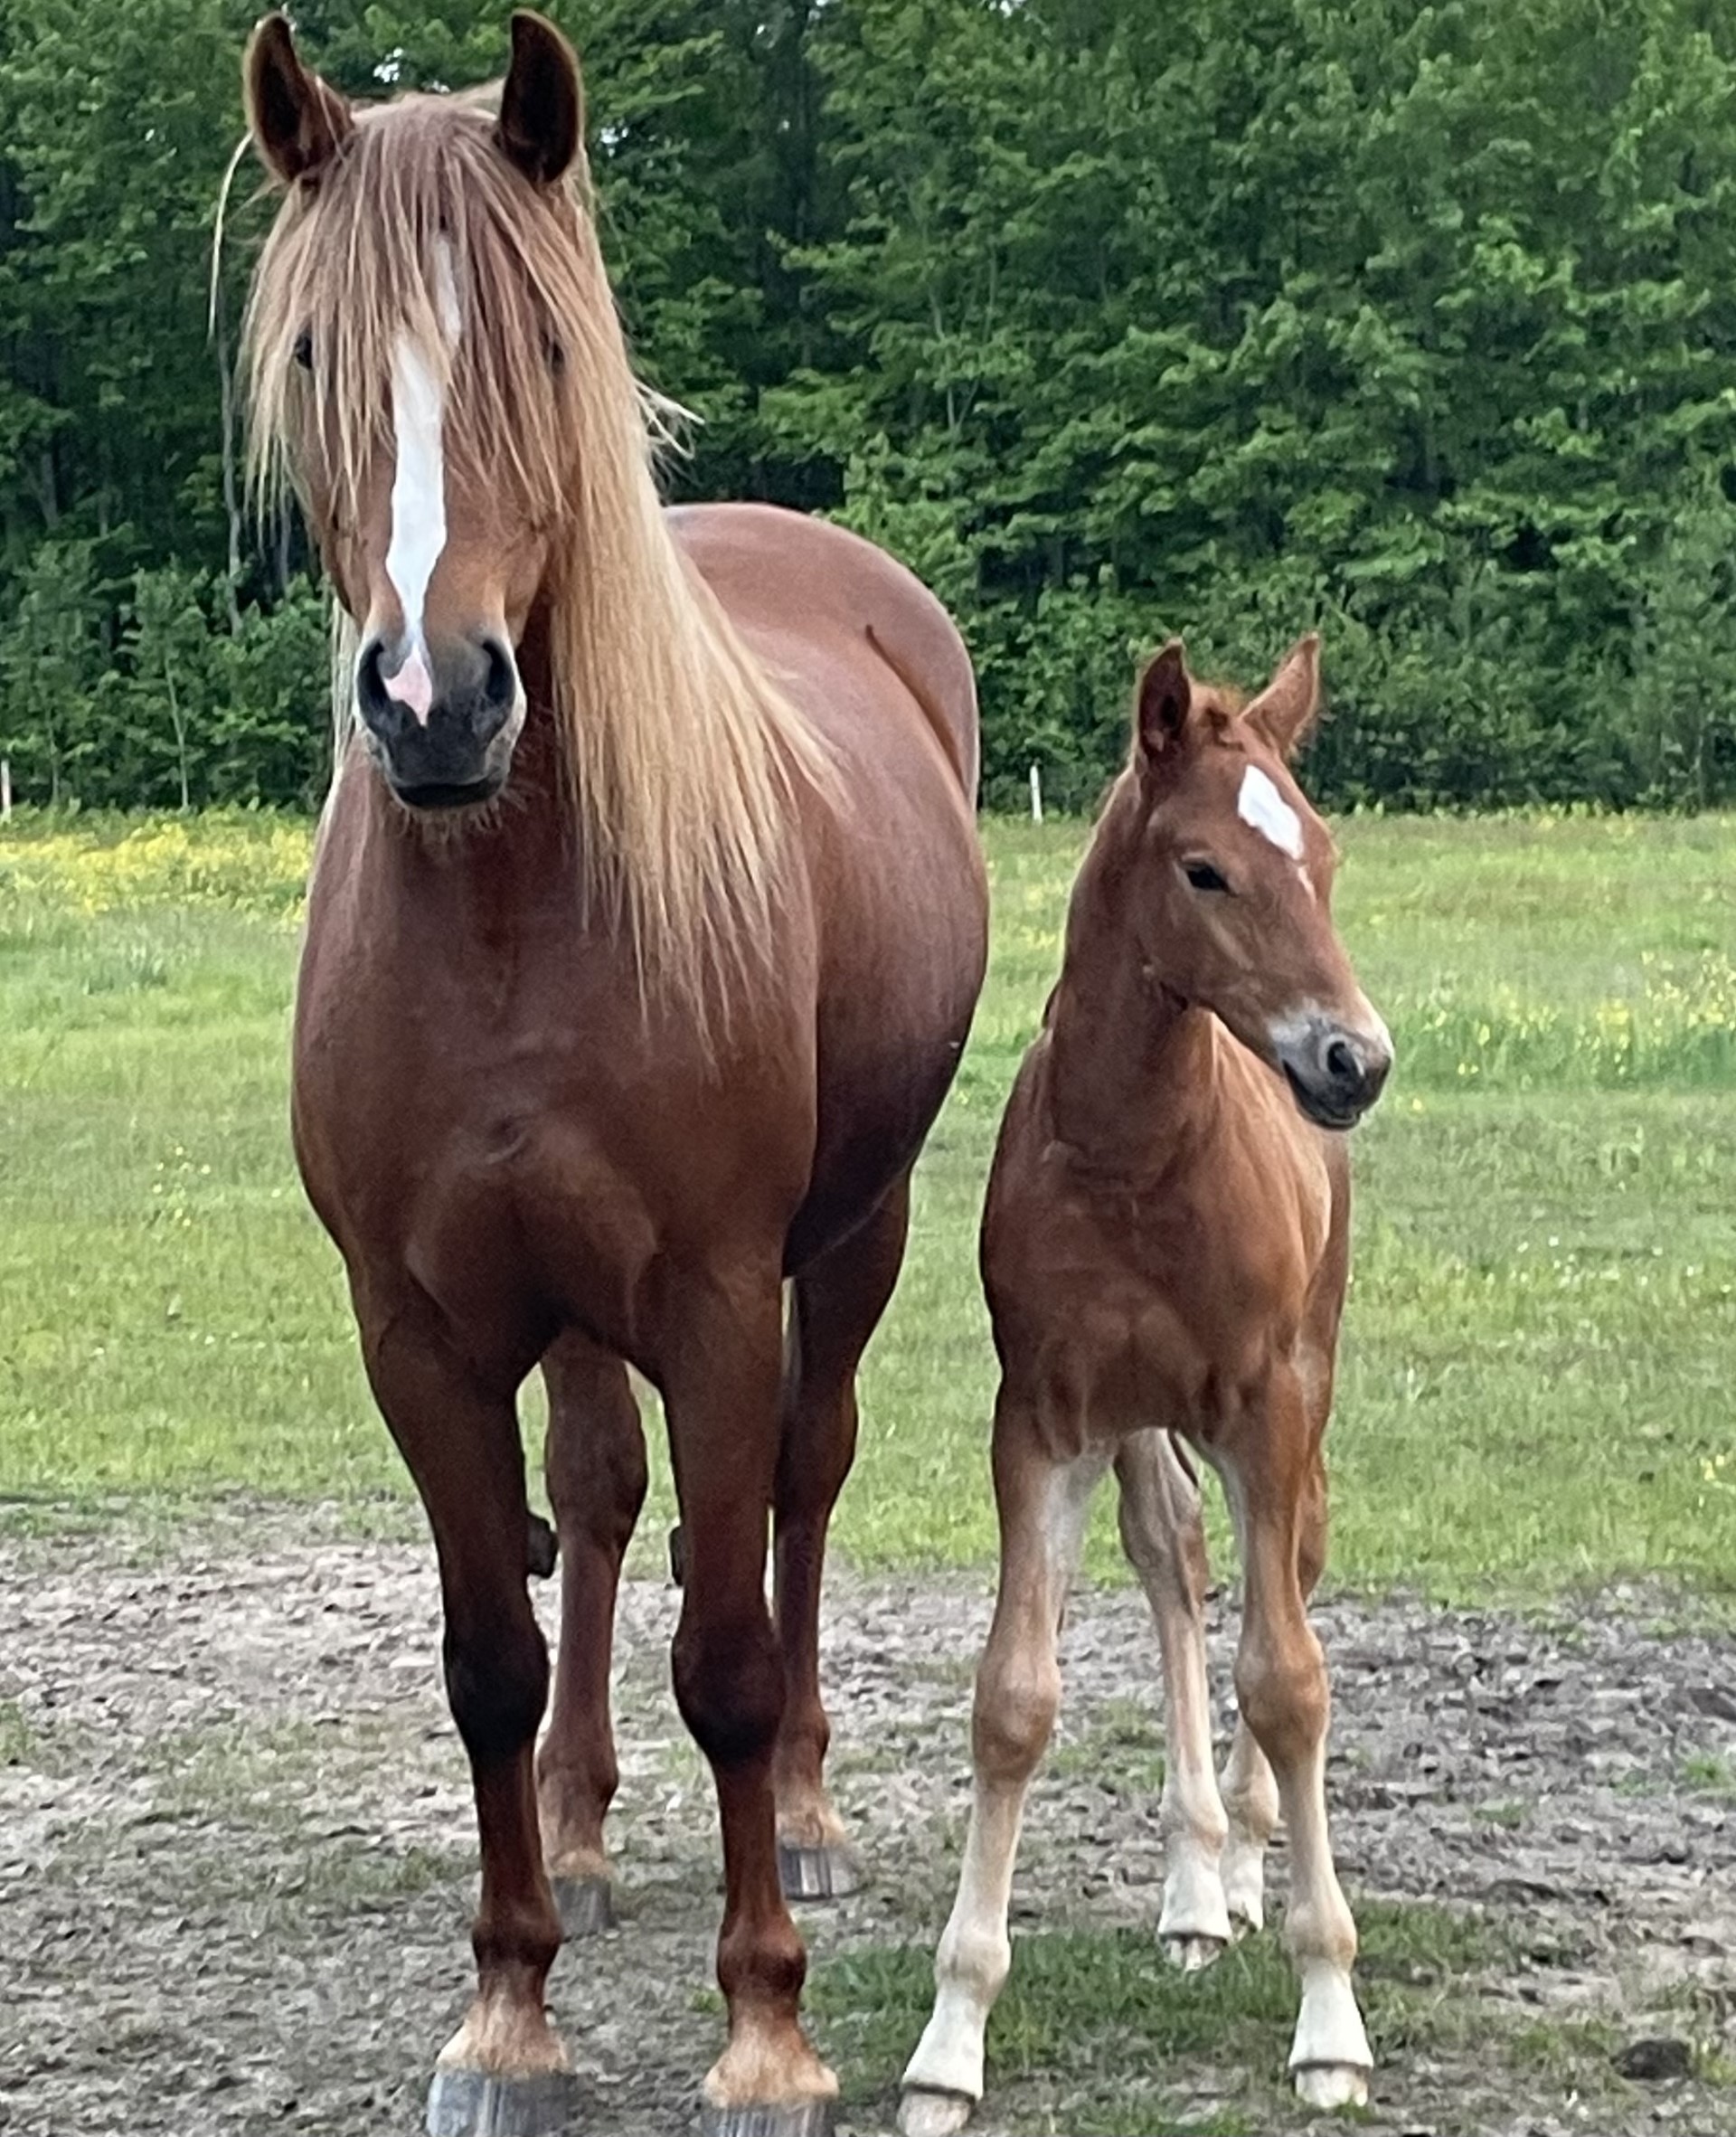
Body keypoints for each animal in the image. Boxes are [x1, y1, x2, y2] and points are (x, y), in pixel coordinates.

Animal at [239, 14, 987, 2134]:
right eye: (315, 353)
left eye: (550, 353)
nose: (436, 702)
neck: (503, 910)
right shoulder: (418, 1326)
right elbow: (489, 1648)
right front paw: (506, 2005)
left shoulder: (722, 1300)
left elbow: (725, 1649)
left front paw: (766, 2026)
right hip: (565, 1301)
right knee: (591, 1495)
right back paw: (573, 1822)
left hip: (857, 1234)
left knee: (804, 1487)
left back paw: (804, 1805)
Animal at [898, 636, 1393, 2135]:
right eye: (1206, 869)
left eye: (1325, 855)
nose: (1354, 1058)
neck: (1133, 1158)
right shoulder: (1045, 1422)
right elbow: (1013, 1699)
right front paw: (950, 2038)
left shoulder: (1268, 1407)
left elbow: (1288, 1677)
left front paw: (1330, 2021)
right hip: (1141, 1423)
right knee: (1175, 1555)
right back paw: (1192, 1884)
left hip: (1304, 1380)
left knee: (1285, 1568)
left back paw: (1240, 1861)